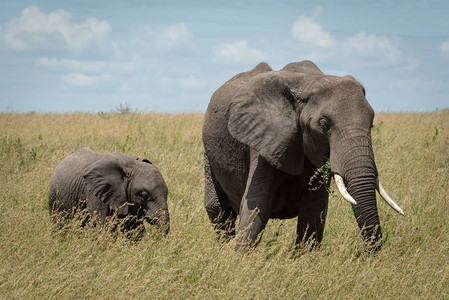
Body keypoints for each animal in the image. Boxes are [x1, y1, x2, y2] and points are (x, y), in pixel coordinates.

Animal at [203, 60, 402, 251]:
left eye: (371, 124)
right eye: (324, 125)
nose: (370, 254)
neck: (309, 82)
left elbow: (312, 209)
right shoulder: (263, 142)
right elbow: (256, 206)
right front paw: (238, 258)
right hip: (208, 153)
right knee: (217, 209)